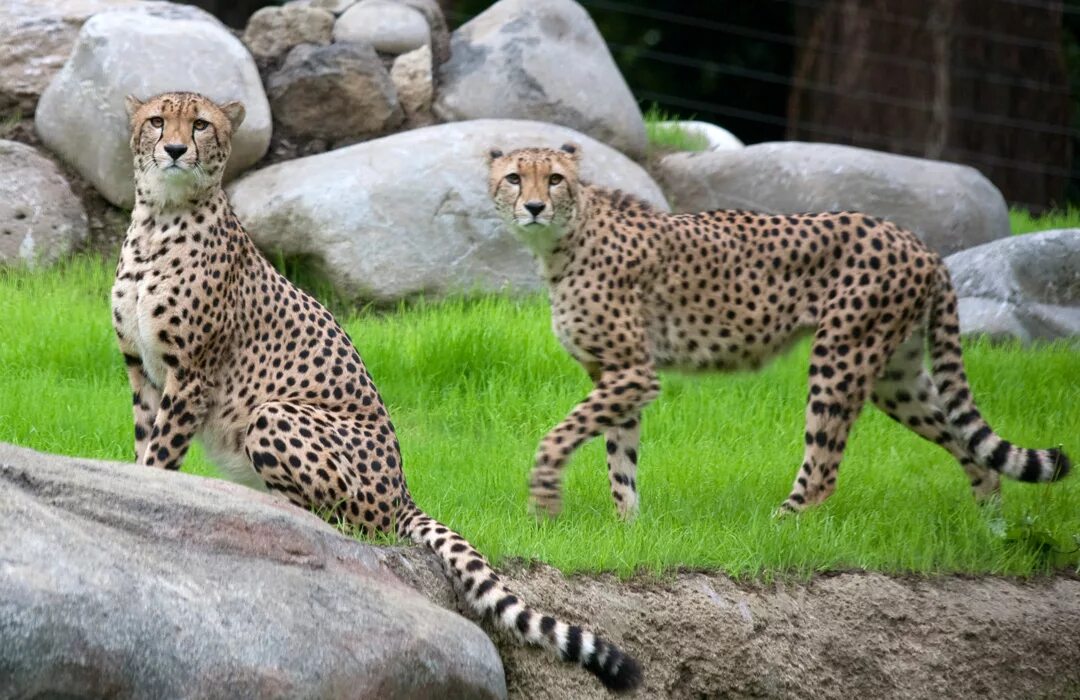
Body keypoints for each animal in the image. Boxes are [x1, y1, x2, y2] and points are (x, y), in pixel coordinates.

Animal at [110, 94, 639, 695]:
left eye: (200, 124)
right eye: (157, 120)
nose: (176, 149)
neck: (162, 217)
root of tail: (402, 488)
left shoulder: (192, 375)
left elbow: (158, 456)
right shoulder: (142, 372)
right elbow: (143, 447)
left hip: (274, 416)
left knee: (349, 524)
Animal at [490, 143, 1071, 518]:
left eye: (555, 178)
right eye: (515, 177)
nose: (535, 206)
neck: (562, 240)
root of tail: (916, 240)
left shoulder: (634, 372)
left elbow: (560, 434)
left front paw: (544, 499)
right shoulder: (617, 375)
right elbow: (620, 455)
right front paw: (626, 525)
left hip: (840, 356)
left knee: (825, 466)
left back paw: (779, 525)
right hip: (897, 377)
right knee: (967, 443)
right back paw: (993, 527)